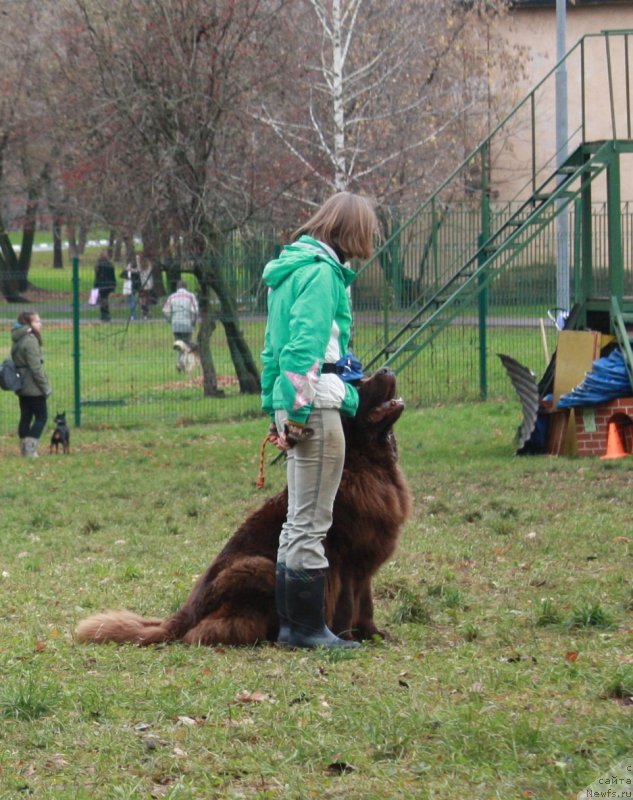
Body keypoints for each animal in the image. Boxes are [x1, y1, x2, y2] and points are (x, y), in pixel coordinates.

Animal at [75, 366, 410, 648]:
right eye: (358, 386)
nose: (386, 369)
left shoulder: (365, 566)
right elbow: (347, 605)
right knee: (208, 631)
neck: (368, 464)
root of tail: (186, 612)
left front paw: (373, 634)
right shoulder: (345, 562)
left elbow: (366, 604)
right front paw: (347, 638)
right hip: (257, 566)